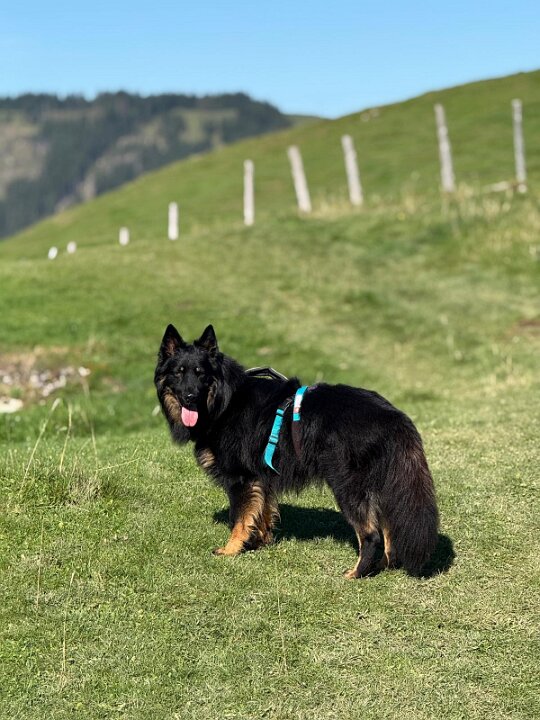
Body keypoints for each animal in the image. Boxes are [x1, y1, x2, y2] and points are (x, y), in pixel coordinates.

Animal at [154, 324, 439, 578]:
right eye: (179, 373)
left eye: (200, 373)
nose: (190, 397)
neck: (225, 401)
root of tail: (394, 416)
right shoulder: (261, 478)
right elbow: (261, 513)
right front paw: (260, 542)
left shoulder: (241, 479)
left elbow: (239, 518)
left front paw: (231, 550)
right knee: (388, 529)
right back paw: (380, 568)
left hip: (347, 487)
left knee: (371, 535)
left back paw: (356, 573)